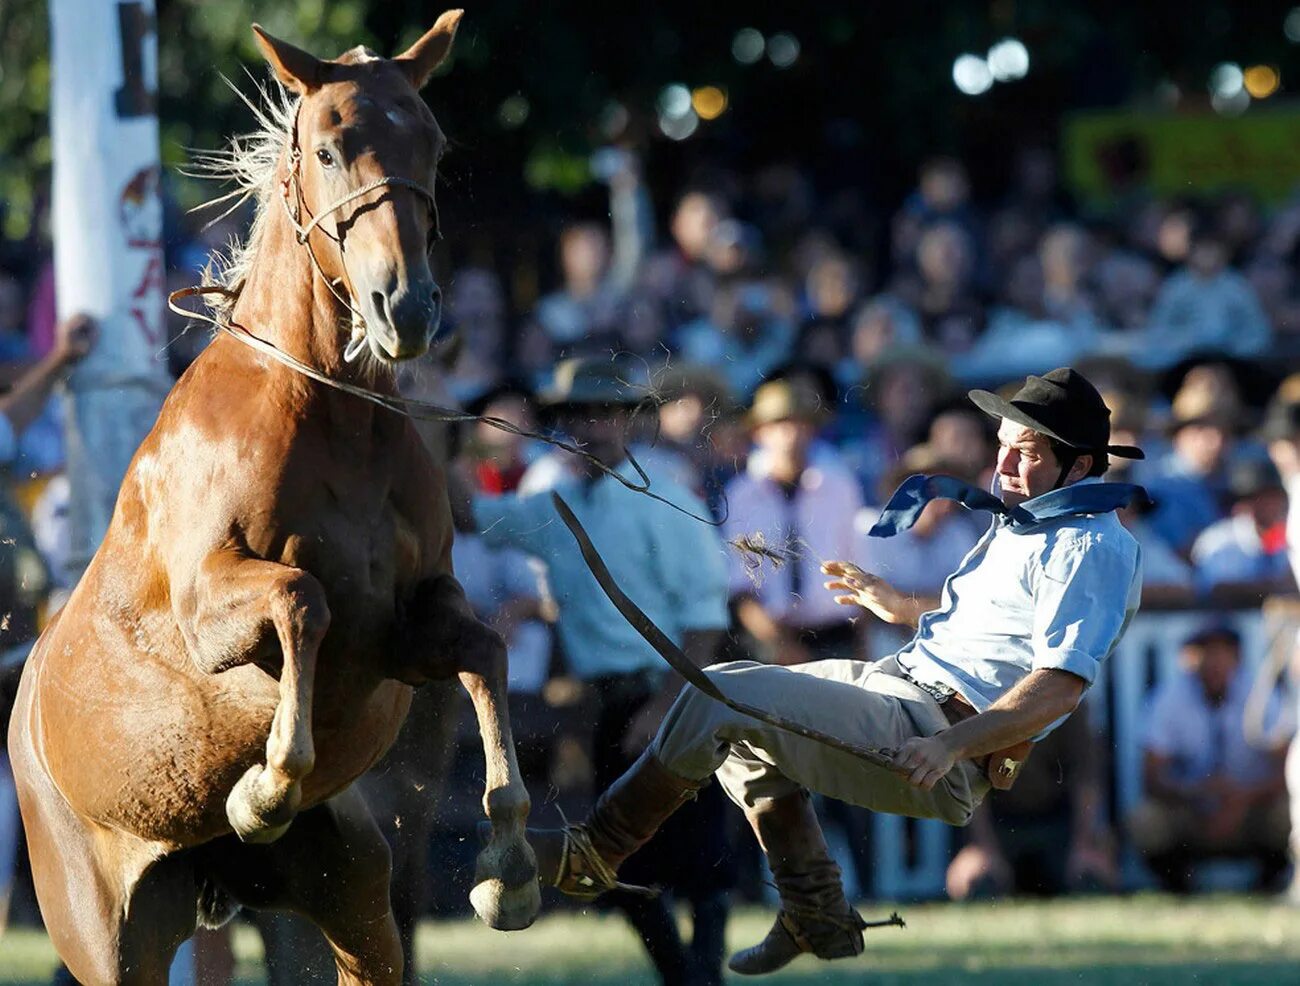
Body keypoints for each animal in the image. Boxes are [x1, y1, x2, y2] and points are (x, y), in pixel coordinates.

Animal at [5, 11, 535, 983]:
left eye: (433, 144)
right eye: (327, 147)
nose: (406, 306)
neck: (328, 416)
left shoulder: (410, 621)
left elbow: (484, 646)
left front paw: (508, 865)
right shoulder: (209, 607)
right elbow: (302, 599)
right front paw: (263, 787)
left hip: (351, 892)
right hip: (106, 936)